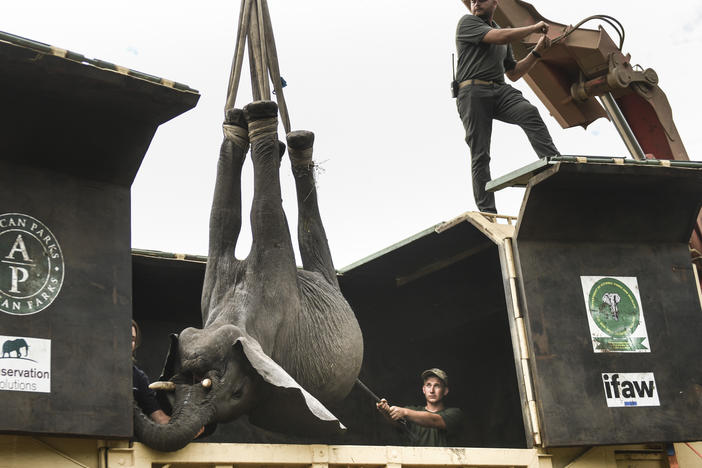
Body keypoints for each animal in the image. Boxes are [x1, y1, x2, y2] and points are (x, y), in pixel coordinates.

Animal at [133, 100, 364, 452]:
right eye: (172, 386)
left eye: (237, 394)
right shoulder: (216, 278)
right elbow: (223, 217)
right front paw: (238, 123)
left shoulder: (275, 277)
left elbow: (263, 212)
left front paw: (258, 115)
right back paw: (266, 131)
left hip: (326, 282)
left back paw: (279, 128)